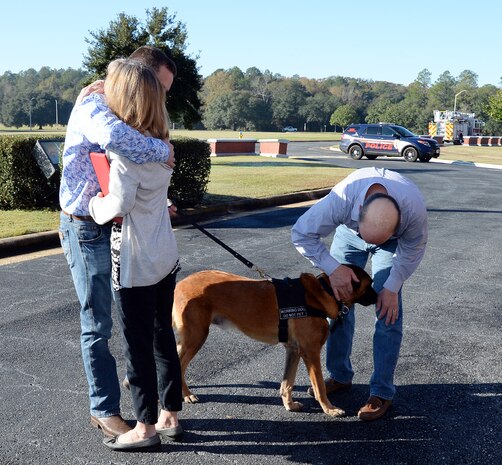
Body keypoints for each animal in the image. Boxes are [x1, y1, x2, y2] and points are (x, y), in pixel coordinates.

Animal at [173, 264, 376, 416]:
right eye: (370, 284)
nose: (378, 297)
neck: (324, 291)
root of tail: (179, 284)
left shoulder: (294, 350)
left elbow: (287, 382)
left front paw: (289, 405)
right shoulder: (311, 352)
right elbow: (319, 386)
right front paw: (330, 409)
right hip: (196, 336)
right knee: (179, 365)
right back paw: (186, 395)